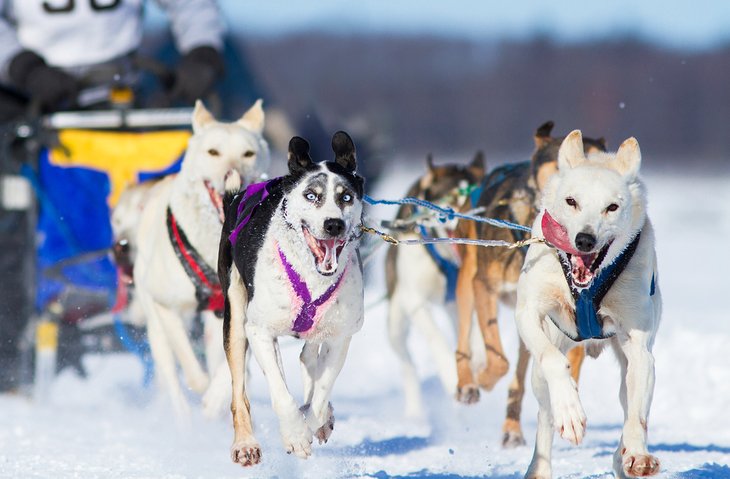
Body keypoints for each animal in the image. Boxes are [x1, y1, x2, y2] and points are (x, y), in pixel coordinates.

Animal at [132, 100, 268, 416]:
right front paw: (203, 390)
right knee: (172, 377)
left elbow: (231, 364)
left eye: (248, 153)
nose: (233, 175)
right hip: (156, 328)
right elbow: (192, 369)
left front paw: (217, 395)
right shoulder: (166, 307)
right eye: (213, 152)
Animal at [216, 132, 364, 468]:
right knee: (239, 392)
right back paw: (245, 444)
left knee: (308, 359)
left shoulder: (340, 336)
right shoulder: (259, 331)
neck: (311, 275)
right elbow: (282, 395)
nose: (334, 224)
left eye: (346, 197)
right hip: (235, 318)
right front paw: (296, 435)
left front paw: (315, 420)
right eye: (311, 195)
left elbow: (320, 393)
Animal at [384, 153, 486, 416]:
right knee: (407, 363)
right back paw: (415, 413)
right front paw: (452, 377)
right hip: (396, 322)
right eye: (451, 203)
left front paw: (478, 356)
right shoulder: (415, 300)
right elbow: (436, 339)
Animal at [452, 119, 604, 446]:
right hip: (468, 281)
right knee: (464, 337)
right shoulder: (484, 286)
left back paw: (512, 426)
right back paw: (468, 383)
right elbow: (498, 359)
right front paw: (483, 378)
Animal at [516, 129, 664, 478]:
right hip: (541, 371)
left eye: (612, 207)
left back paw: (623, 456)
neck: (586, 287)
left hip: (631, 362)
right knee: (545, 414)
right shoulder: (528, 312)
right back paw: (540, 464)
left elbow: (636, 413)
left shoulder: (639, 346)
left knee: (628, 401)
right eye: (572, 201)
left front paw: (637, 453)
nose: (585, 240)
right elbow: (553, 360)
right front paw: (570, 411)